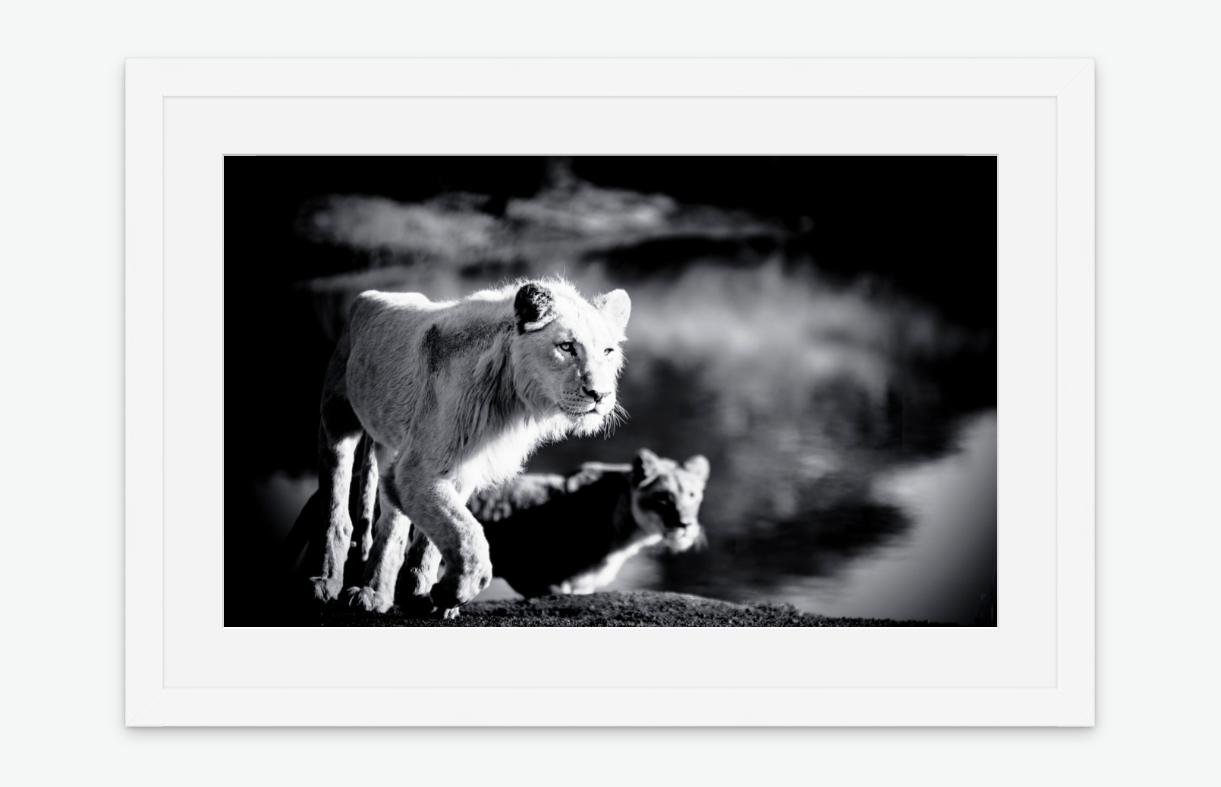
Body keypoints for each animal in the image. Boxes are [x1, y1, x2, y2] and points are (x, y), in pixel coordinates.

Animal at [308, 278, 631, 617]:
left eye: (607, 351)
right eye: (566, 347)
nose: (600, 395)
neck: (510, 398)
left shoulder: (458, 467)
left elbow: (434, 538)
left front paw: (423, 595)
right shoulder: (417, 468)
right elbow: (467, 533)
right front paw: (453, 590)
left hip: (389, 447)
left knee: (391, 525)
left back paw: (375, 593)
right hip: (336, 418)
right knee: (336, 508)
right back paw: (327, 583)